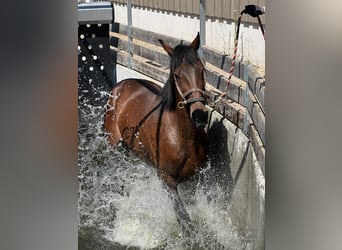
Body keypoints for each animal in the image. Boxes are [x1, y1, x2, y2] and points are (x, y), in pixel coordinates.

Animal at [103, 33, 207, 232]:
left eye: (202, 70)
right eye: (177, 75)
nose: (200, 116)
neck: (182, 136)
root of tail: (122, 84)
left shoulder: (193, 181)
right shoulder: (168, 181)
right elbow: (184, 220)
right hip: (112, 142)